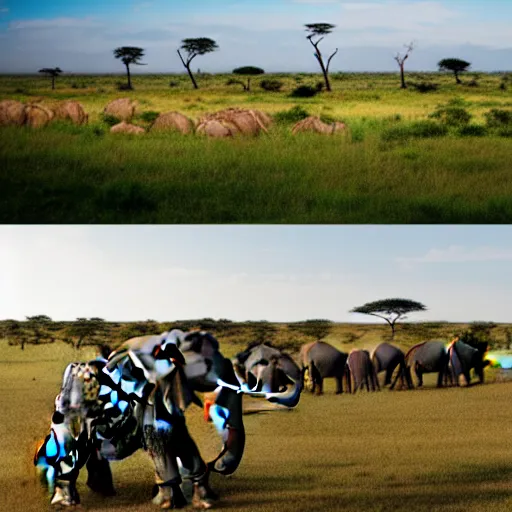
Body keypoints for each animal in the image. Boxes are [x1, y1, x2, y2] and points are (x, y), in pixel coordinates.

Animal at [34, 330, 300, 510]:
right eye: (210, 367)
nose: (219, 464)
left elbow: (185, 444)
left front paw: (207, 501)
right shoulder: (151, 400)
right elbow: (160, 445)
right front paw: (166, 504)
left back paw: (103, 491)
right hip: (71, 413)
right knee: (71, 454)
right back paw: (65, 503)